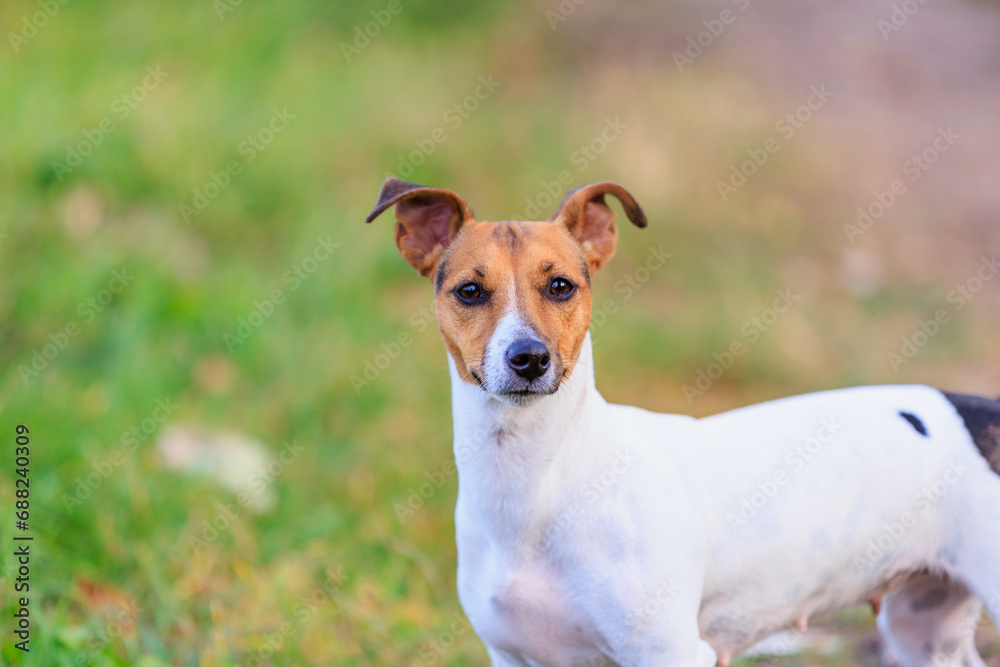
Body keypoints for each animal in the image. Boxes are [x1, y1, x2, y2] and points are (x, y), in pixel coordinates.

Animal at [366, 179, 1000, 667]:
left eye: (561, 285)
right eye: (470, 291)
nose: (529, 358)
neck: (539, 484)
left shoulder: (669, 651)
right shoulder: (515, 655)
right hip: (924, 627)